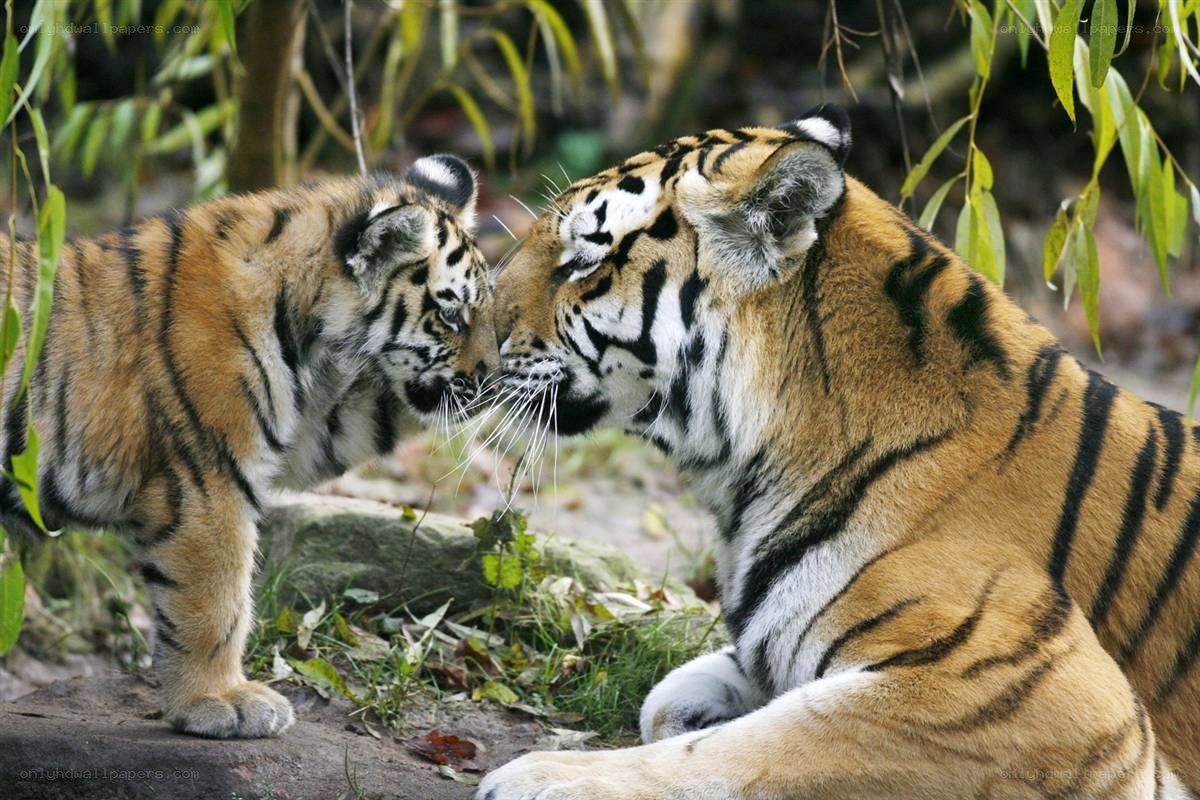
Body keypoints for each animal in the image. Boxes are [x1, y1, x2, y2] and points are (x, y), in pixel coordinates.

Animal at [0, 154, 498, 739]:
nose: (494, 379)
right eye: (452, 315)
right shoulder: (207, 476)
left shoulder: (315, 425)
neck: (307, 332)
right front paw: (219, 701)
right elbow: (216, 601)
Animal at [478, 107, 1197, 798]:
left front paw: (542, 777)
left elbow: (755, 750)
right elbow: (674, 701)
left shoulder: (1052, 700)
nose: (469, 331)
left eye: (583, 260)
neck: (746, 470)